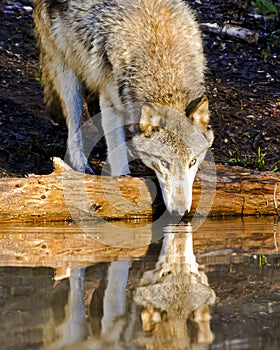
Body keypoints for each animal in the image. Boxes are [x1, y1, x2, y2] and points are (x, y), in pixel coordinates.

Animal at [33, 0, 212, 216]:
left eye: (192, 162)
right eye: (164, 162)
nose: (180, 212)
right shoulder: (110, 100)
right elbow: (117, 153)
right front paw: (123, 183)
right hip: (68, 72)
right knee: (74, 128)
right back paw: (81, 166)